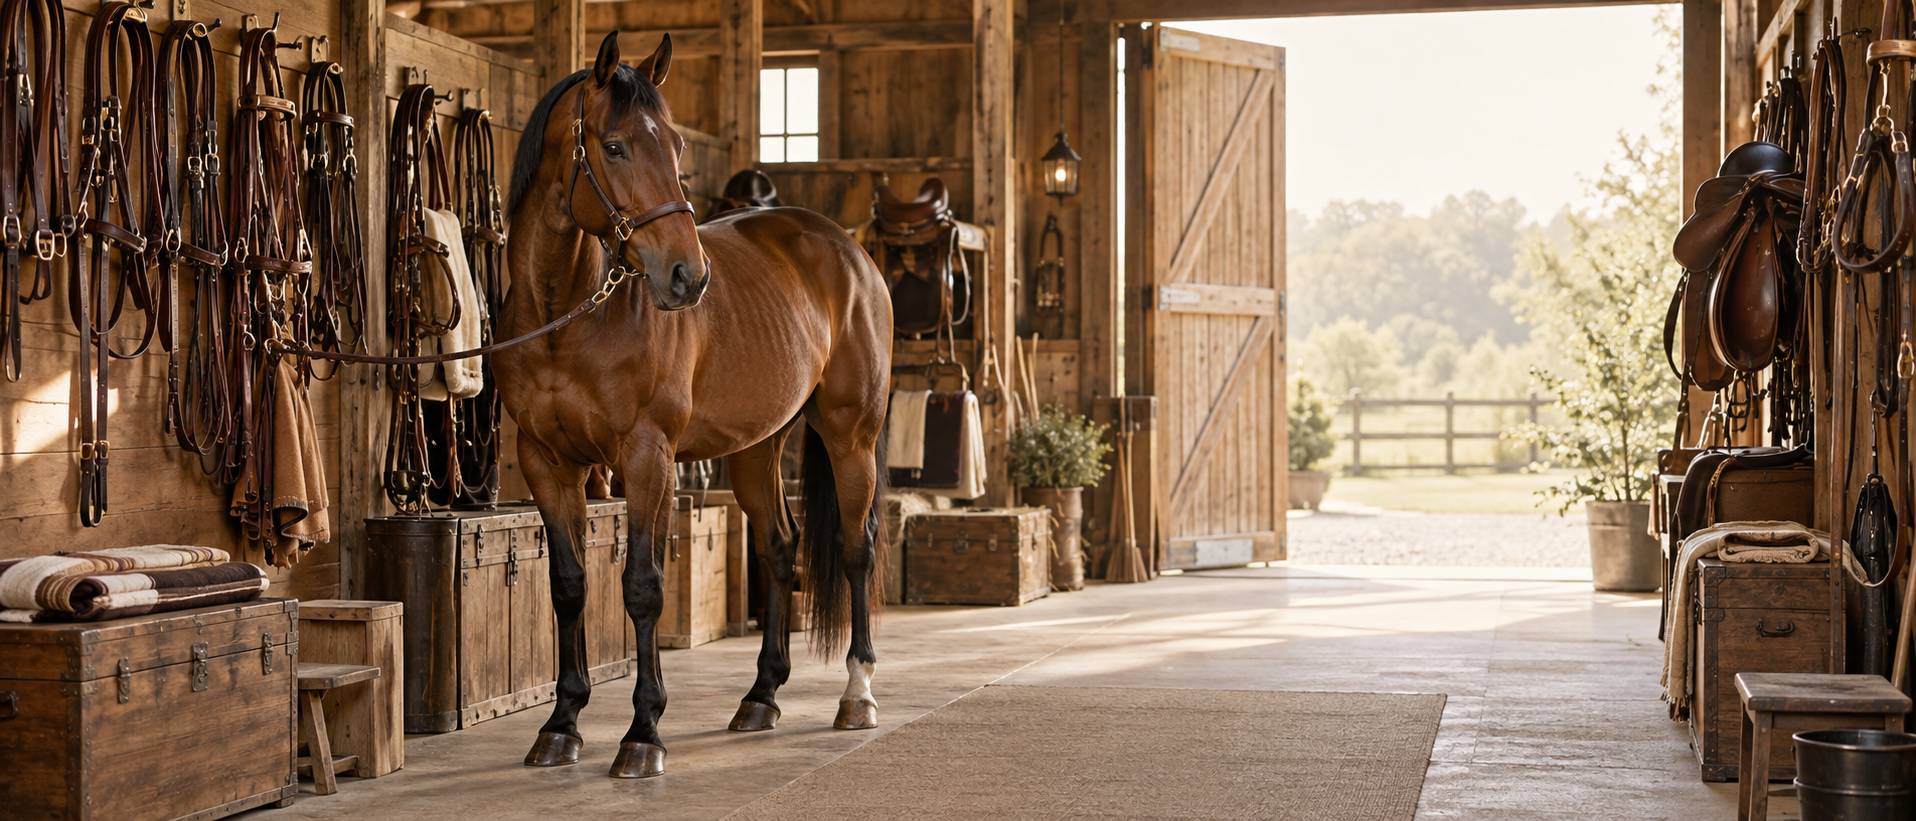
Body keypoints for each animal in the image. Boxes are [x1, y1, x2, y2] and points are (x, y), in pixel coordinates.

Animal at [493, 31, 892, 779]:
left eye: (676, 146)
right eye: (615, 146)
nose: (687, 276)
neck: (568, 317)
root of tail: (848, 250)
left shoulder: (648, 457)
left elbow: (642, 585)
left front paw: (643, 732)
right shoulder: (546, 461)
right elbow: (568, 584)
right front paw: (560, 725)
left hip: (850, 435)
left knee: (857, 547)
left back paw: (857, 694)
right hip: (758, 447)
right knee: (780, 549)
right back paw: (761, 696)